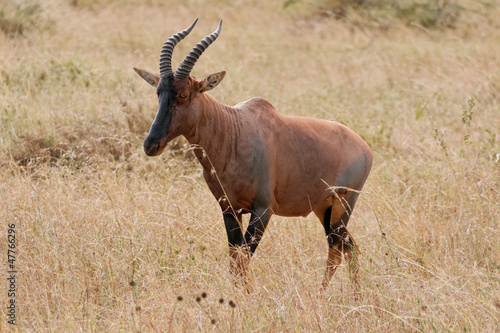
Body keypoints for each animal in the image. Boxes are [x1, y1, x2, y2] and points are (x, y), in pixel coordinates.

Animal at [133, 18, 372, 290]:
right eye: (158, 92)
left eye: (184, 94)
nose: (151, 144)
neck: (233, 129)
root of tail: (364, 146)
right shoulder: (229, 209)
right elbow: (234, 258)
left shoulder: (263, 210)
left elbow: (243, 259)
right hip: (324, 208)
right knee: (349, 247)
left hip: (343, 204)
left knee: (337, 250)